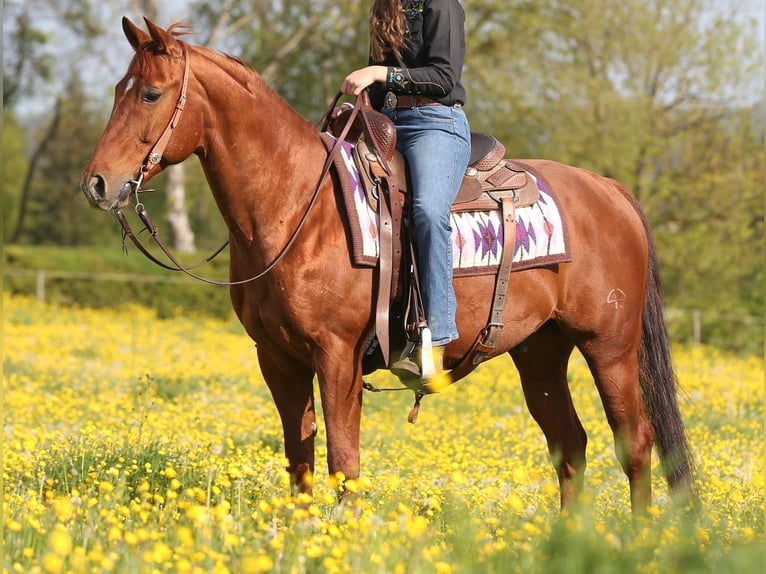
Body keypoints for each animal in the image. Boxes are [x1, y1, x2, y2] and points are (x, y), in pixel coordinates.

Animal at [80, 17, 696, 512]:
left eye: (151, 94)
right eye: (118, 90)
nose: (98, 184)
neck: (297, 206)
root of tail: (611, 190)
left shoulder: (337, 356)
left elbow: (343, 461)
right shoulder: (277, 359)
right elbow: (300, 460)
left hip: (609, 347)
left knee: (635, 443)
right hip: (540, 352)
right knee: (571, 446)